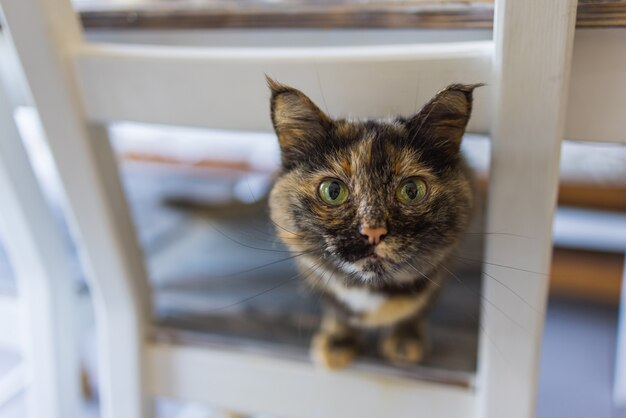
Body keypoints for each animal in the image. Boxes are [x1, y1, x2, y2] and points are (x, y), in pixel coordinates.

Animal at [266, 78, 478, 370]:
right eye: (333, 191)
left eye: (412, 190)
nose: (373, 231)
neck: (368, 288)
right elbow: (338, 312)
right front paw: (338, 340)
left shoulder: (443, 266)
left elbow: (417, 309)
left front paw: (405, 339)